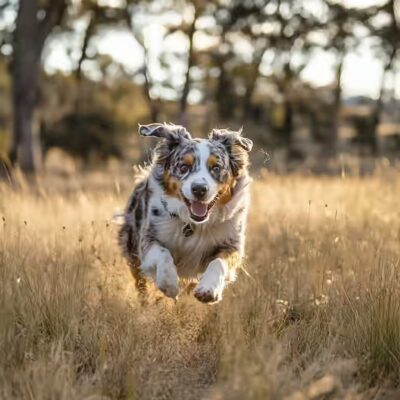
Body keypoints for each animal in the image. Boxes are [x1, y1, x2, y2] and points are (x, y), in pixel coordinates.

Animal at [117, 122, 253, 304]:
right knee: (141, 284)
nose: (199, 189)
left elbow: (218, 262)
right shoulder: (147, 239)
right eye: (184, 167)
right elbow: (163, 253)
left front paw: (208, 289)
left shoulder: (232, 244)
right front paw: (169, 285)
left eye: (216, 167)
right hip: (132, 245)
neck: (195, 224)